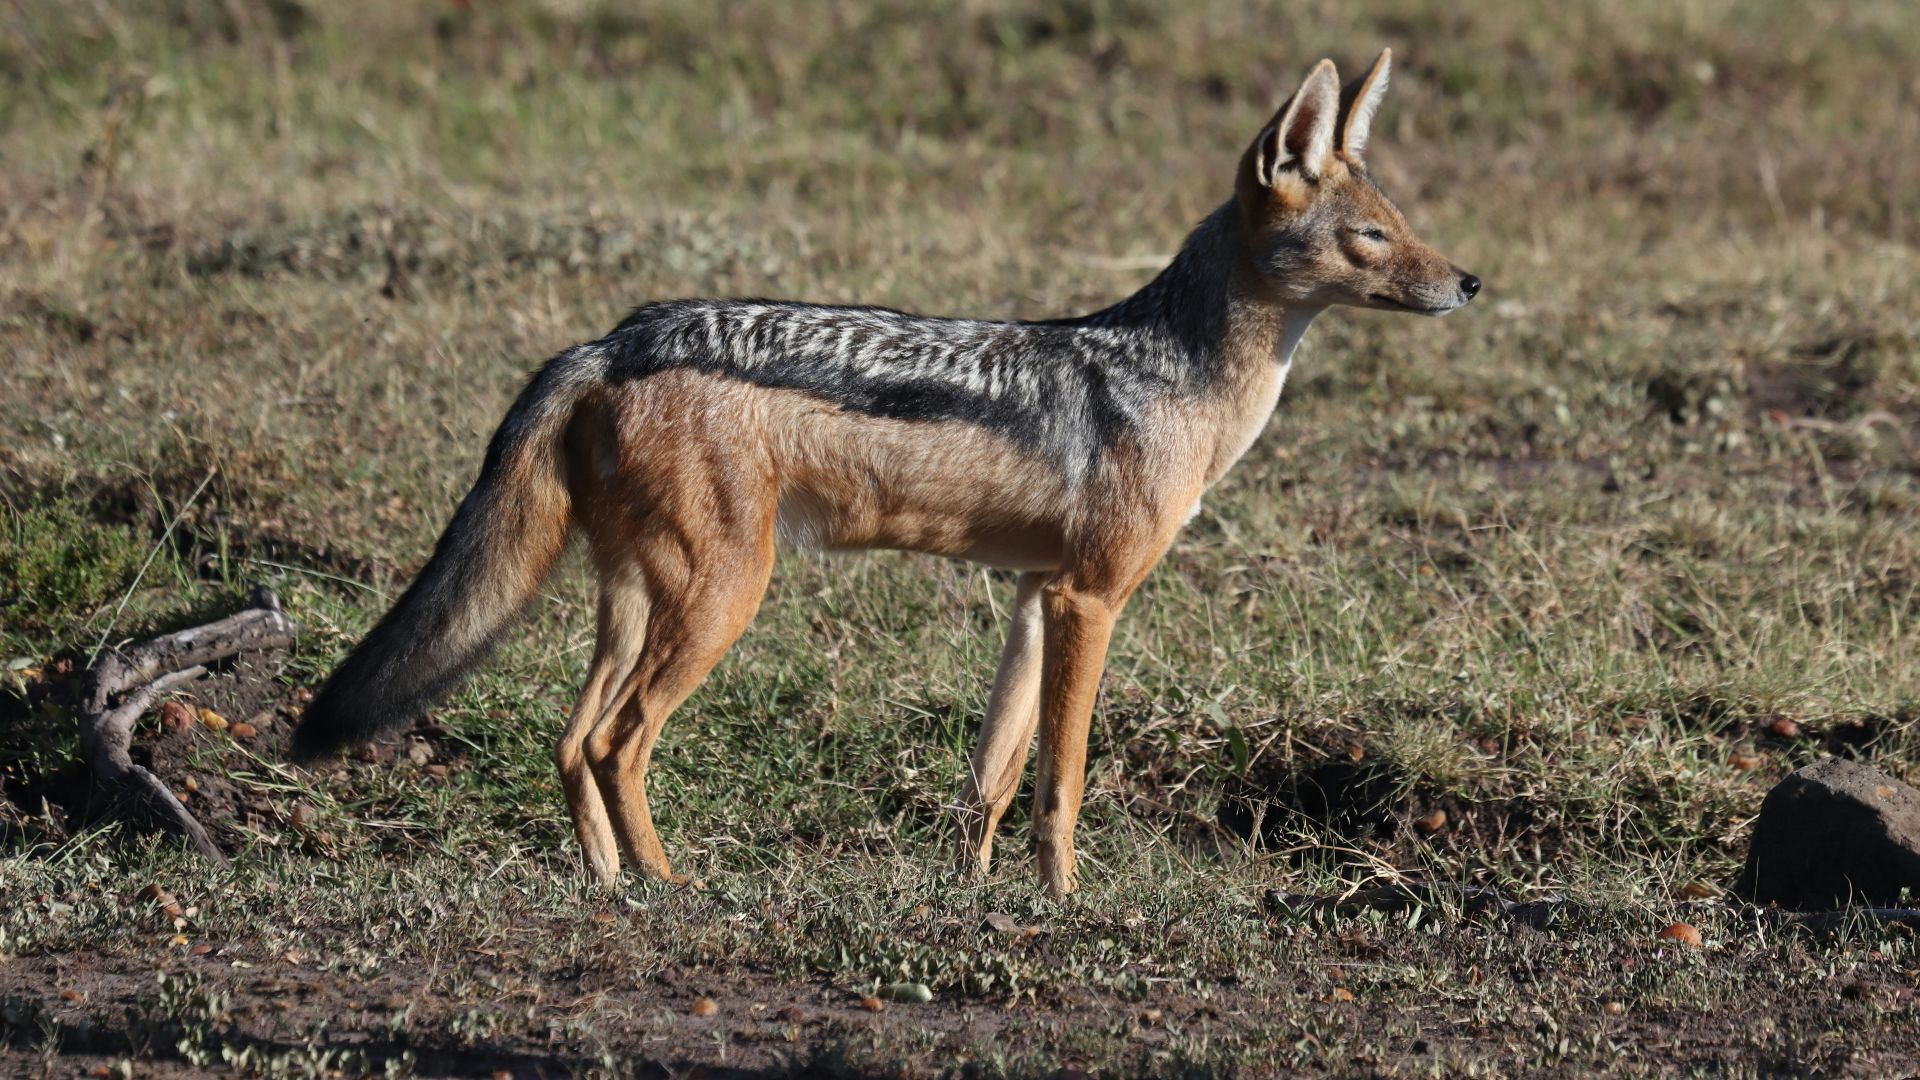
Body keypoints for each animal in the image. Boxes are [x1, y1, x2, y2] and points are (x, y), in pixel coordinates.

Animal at [291, 50, 1478, 897]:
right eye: (1373, 238)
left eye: (1408, 226)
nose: (1468, 281)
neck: (1177, 379)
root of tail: (612, 337)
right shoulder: (1091, 600)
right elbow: (1062, 781)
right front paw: (1067, 904)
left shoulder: (1036, 597)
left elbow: (991, 779)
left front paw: (974, 897)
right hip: (721, 602)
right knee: (622, 742)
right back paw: (671, 887)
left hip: (635, 605)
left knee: (573, 737)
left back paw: (608, 885)